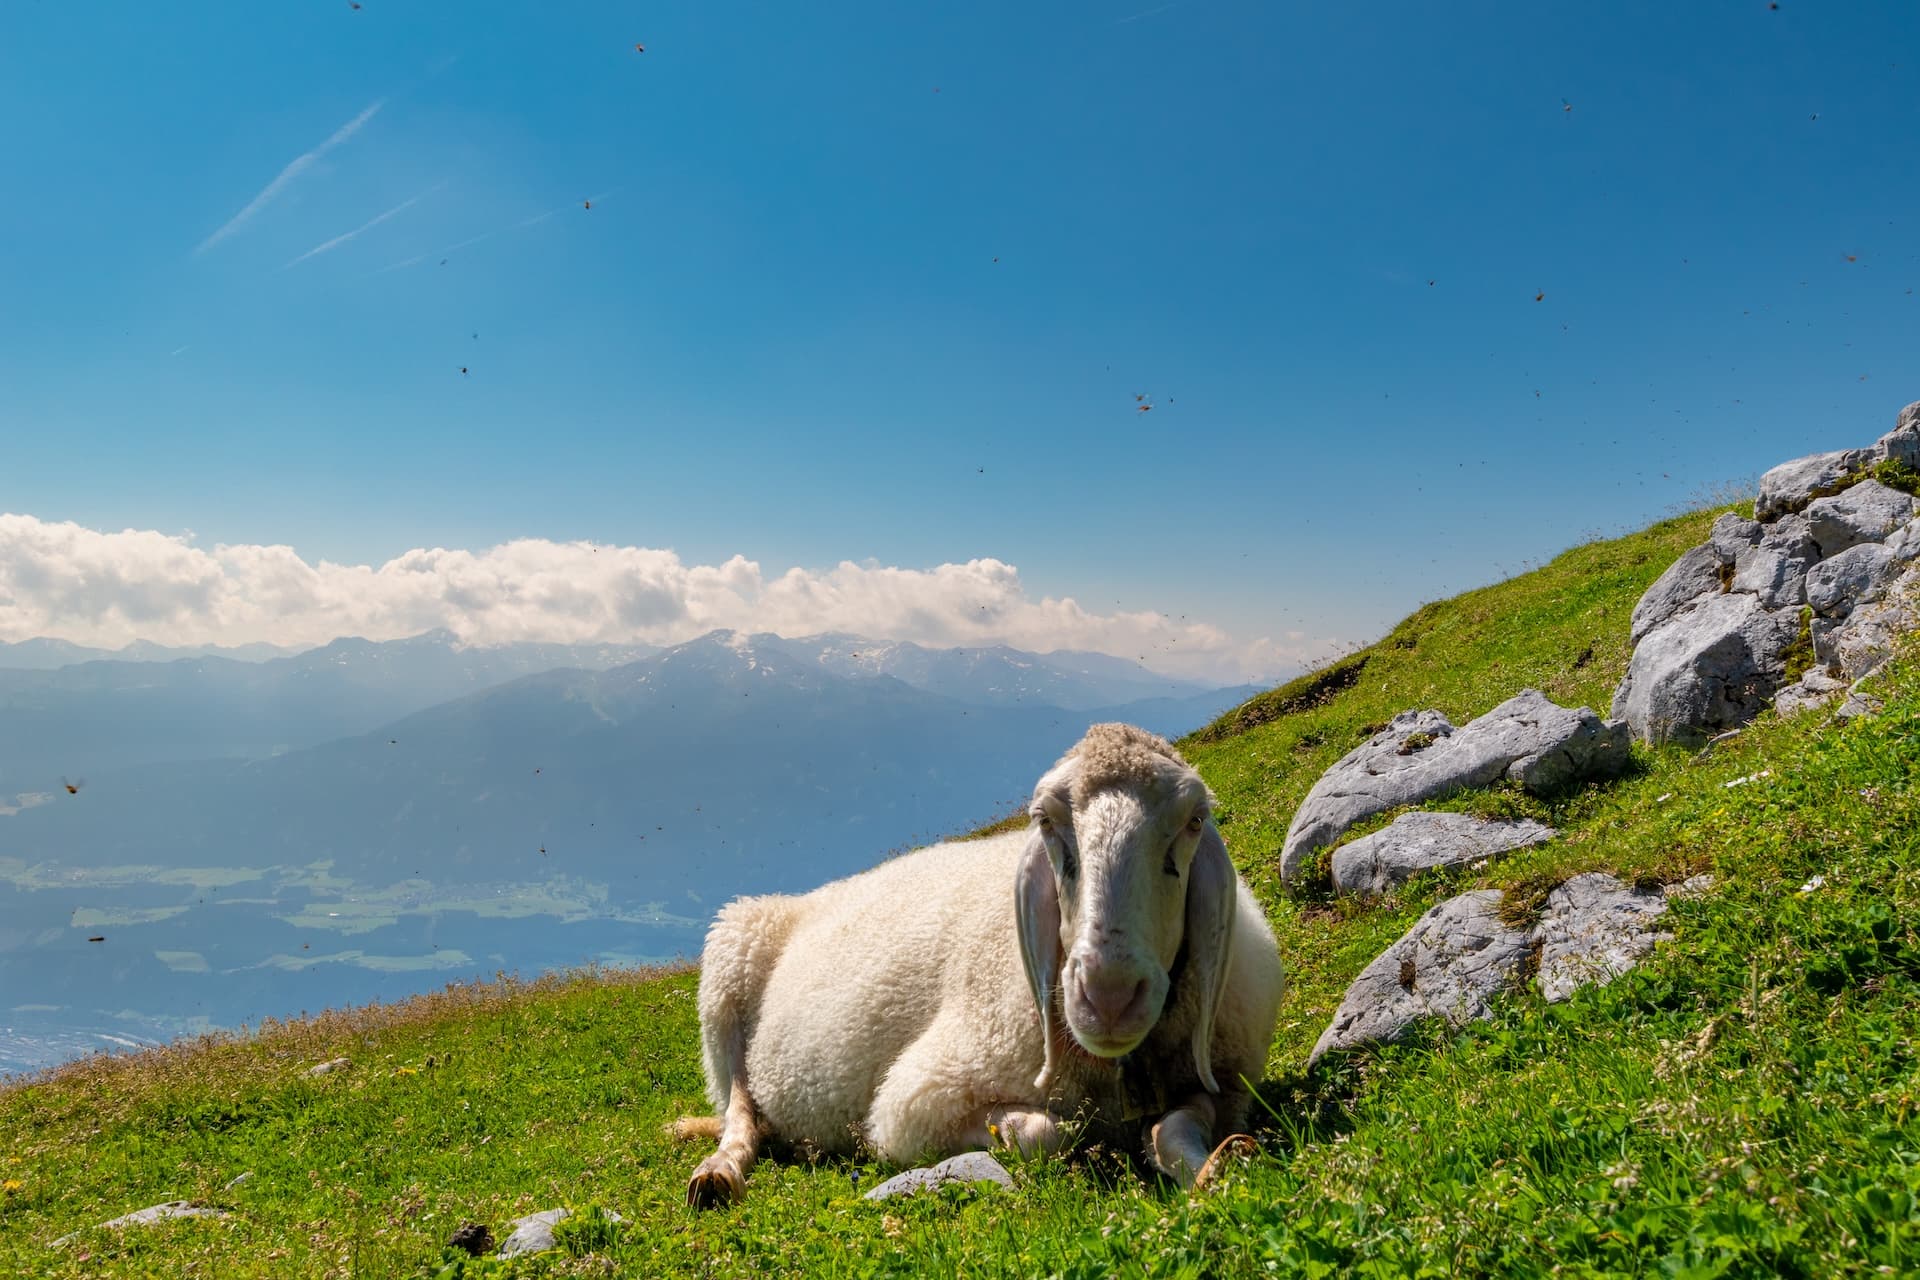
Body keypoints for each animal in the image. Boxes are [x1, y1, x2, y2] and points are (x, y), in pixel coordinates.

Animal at [679, 722, 1285, 1208]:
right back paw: (717, 1174)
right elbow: (1047, 1135)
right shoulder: (914, 1106)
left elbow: (1178, 1125)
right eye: (1045, 822)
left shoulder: (1226, 1082)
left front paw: (1221, 1162)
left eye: (1194, 821)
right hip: (726, 979)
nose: (1108, 995)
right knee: (738, 1112)